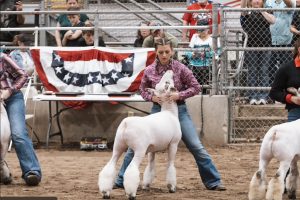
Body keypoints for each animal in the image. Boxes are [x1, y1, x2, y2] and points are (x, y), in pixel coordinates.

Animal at [99, 70, 182, 198]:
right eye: (167, 82)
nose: (170, 70)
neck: (169, 112)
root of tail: (126, 123)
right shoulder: (173, 144)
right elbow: (170, 165)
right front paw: (171, 187)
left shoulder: (152, 148)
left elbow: (151, 165)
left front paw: (146, 185)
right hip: (139, 149)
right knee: (131, 169)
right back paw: (131, 194)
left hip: (118, 146)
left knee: (110, 166)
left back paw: (105, 192)